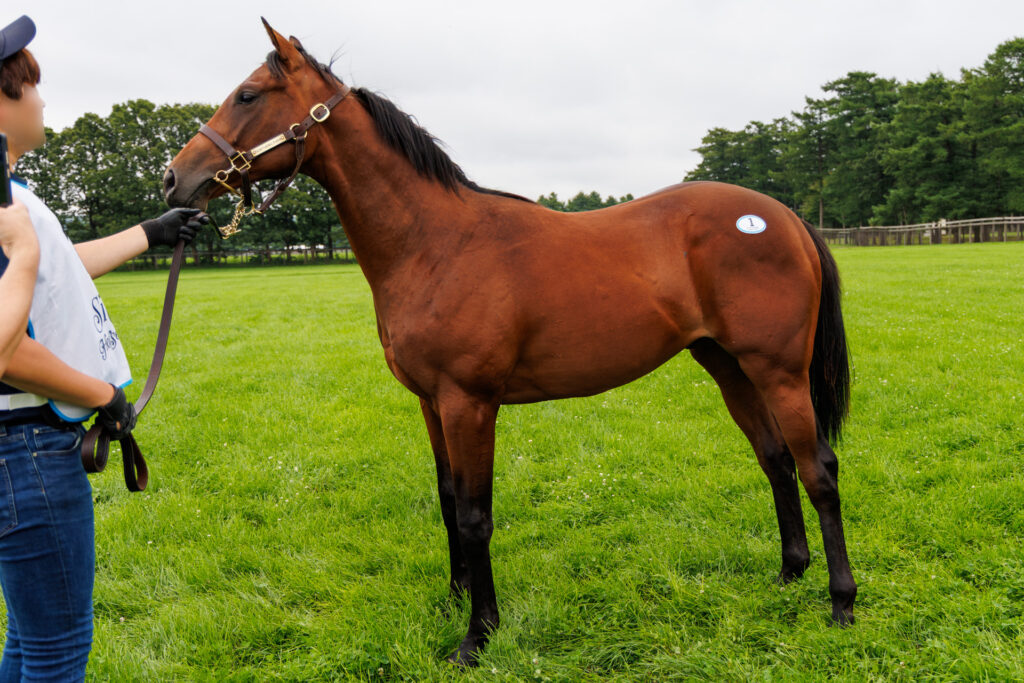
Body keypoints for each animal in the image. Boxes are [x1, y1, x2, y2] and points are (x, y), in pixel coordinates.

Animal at [164, 19, 856, 666]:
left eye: (249, 94)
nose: (175, 180)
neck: (434, 244)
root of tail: (784, 215)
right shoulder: (430, 403)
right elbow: (448, 499)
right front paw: (456, 595)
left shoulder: (469, 402)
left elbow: (476, 515)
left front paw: (478, 635)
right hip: (730, 367)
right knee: (775, 459)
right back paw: (789, 573)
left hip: (779, 372)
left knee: (817, 468)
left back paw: (841, 603)